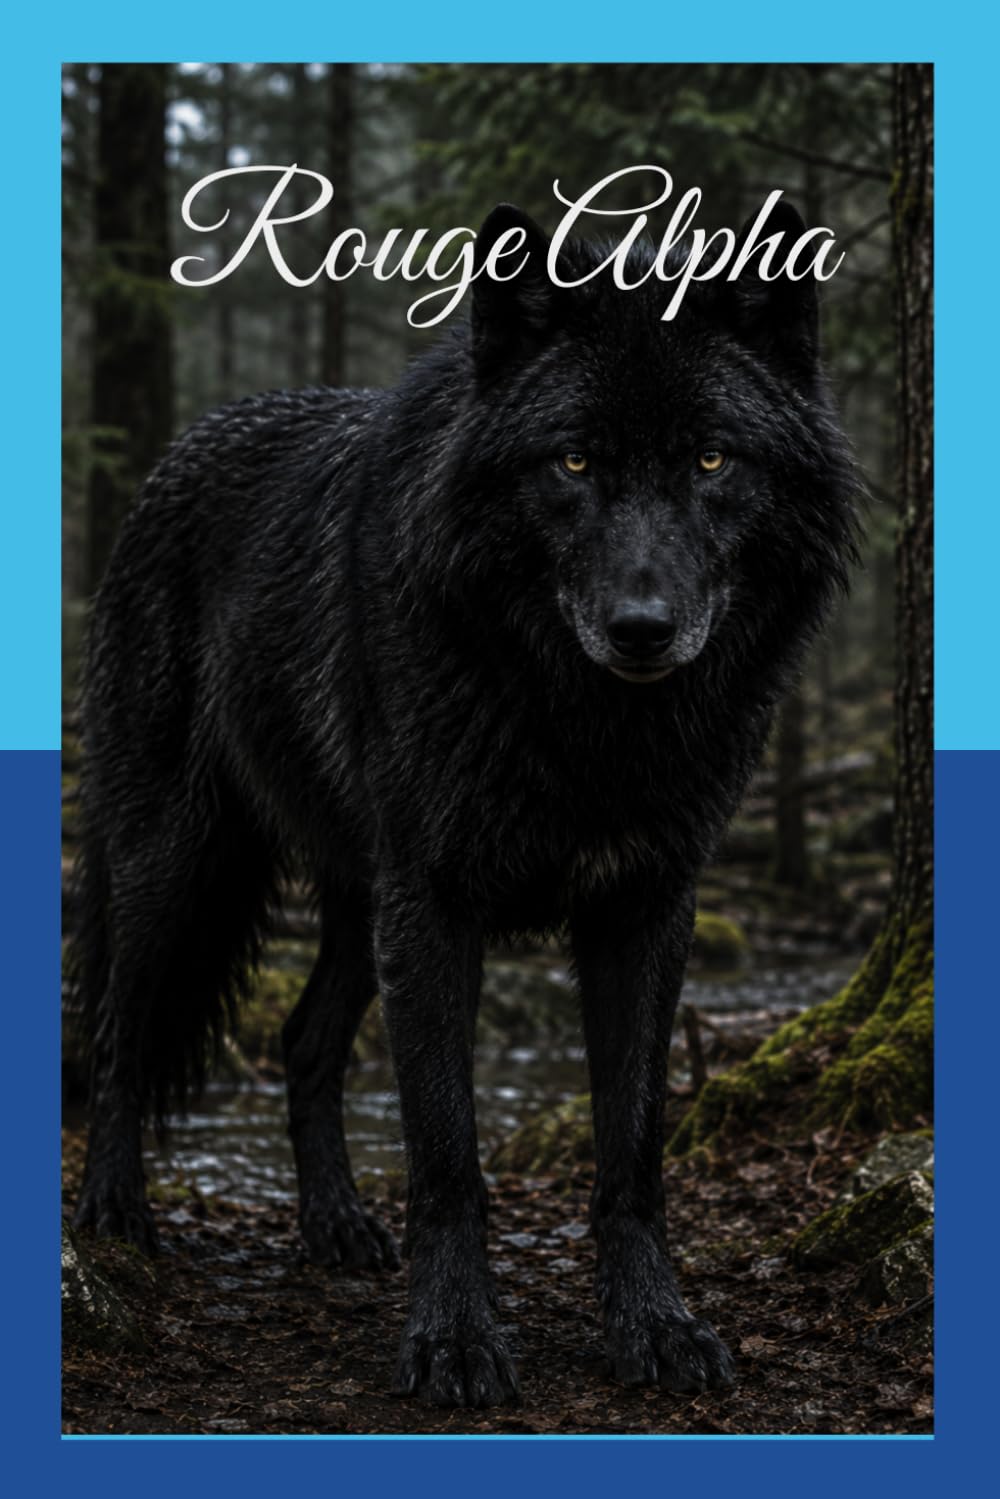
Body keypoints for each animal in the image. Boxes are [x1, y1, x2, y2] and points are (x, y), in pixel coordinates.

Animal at [71, 201, 858, 1408]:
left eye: (712, 458)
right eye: (573, 459)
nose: (642, 628)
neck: (587, 729)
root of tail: (175, 455)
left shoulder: (645, 908)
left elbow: (633, 1150)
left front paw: (655, 1324)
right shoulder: (437, 906)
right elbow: (447, 1155)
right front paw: (451, 1339)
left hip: (359, 905)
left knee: (301, 1040)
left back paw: (337, 1225)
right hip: (180, 863)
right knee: (120, 1030)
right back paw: (113, 1212)